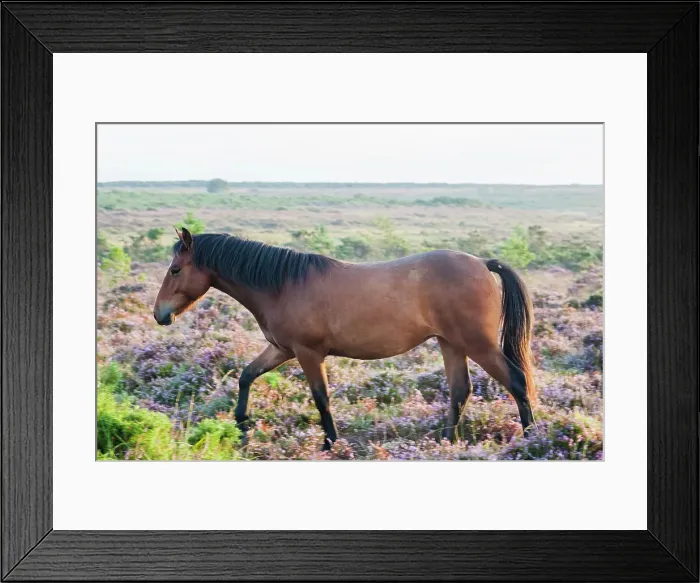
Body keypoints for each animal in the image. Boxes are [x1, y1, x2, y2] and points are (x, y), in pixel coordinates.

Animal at [154, 227, 536, 451]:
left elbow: (320, 398)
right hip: (451, 344)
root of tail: (482, 263)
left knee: (516, 382)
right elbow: (246, 376)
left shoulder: (308, 353)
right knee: (460, 391)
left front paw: (330, 444)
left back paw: (532, 440)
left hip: (476, 344)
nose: (160, 314)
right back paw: (445, 443)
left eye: (175, 269)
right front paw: (241, 428)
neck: (283, 285)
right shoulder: (280, 349)